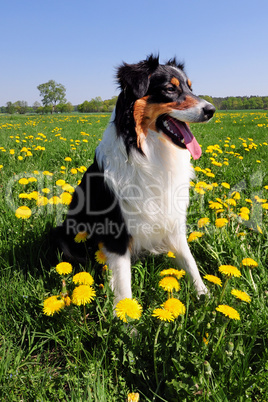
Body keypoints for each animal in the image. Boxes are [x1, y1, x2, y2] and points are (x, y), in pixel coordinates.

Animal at [54, 54, 216, 304]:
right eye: (170, 89)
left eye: (191, 87)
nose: (211, 110)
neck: (148, 151)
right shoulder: (116, 232)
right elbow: (123, 285)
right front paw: (124, 314)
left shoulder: (172, 219)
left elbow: (190, 262)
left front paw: (203, 295)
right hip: (63, 233)